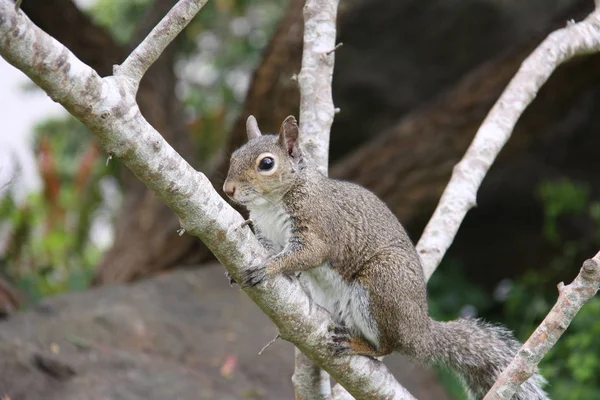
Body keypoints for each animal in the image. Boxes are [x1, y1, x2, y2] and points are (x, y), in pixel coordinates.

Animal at [224, 114, 548, 398]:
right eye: (233, 156)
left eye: (267, 163)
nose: (228, 189)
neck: (271, 203)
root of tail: (421, 332)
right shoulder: (267, 233)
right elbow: (269, 248)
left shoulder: (317, 226)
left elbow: (306, 254)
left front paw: (269, 268)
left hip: (382, 283)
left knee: (390, 346)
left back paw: (361, 346)